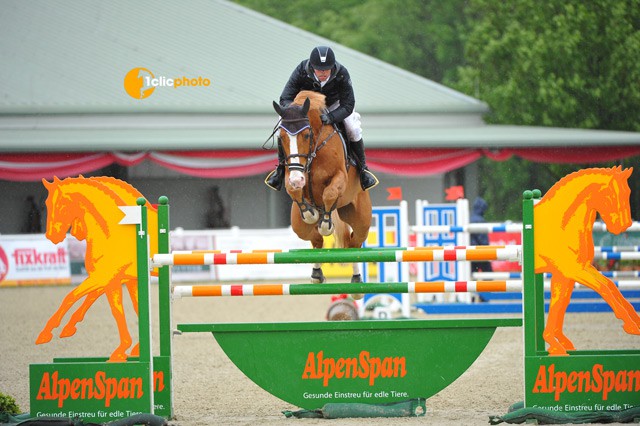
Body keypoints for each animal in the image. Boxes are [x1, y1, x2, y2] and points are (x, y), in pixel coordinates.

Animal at [272, 90, 372, 284]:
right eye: (282, 137)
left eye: (306, 135)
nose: (297, 179)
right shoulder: (292, 174)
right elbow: (293, 189)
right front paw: (310, 213)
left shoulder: (340, 176)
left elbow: (330, 193)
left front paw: (325, 224)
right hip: (299, 226)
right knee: (317, 241)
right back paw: (317, 274)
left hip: (361, 220)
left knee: (354, 244)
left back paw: (356, 278)